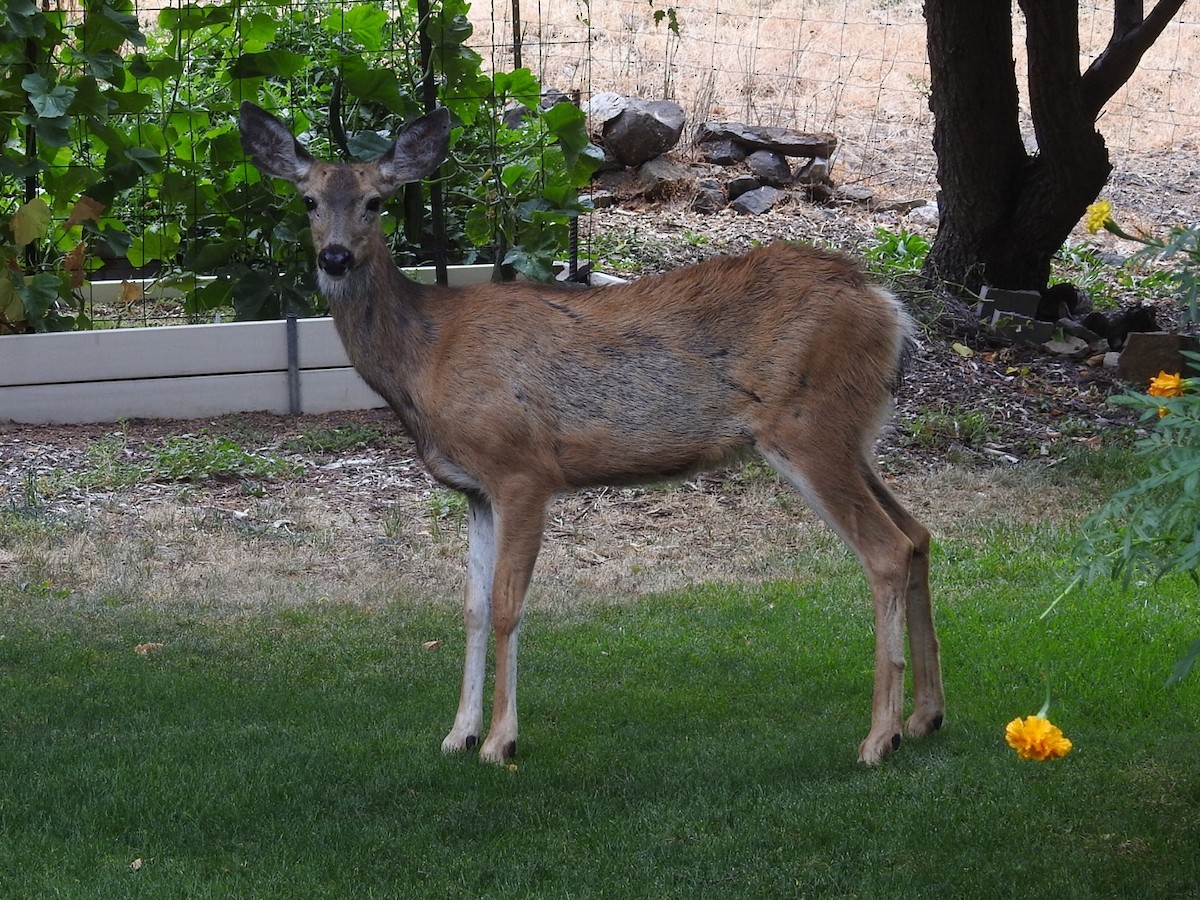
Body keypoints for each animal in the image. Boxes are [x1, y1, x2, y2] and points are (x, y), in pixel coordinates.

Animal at [237, 101, 945, 767]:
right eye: (308, 200)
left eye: (375, 202)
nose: (334, 258)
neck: (425, 359)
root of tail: (889, 307)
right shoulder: (473, 490)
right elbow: (470, 607)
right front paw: (458, 733)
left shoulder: (522, 468)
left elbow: (506, 602)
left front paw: (501, 741)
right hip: (852, 432)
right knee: (917, 534)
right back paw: (924, 718)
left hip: (808, 425)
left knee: (886, 549)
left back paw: (878, 738)